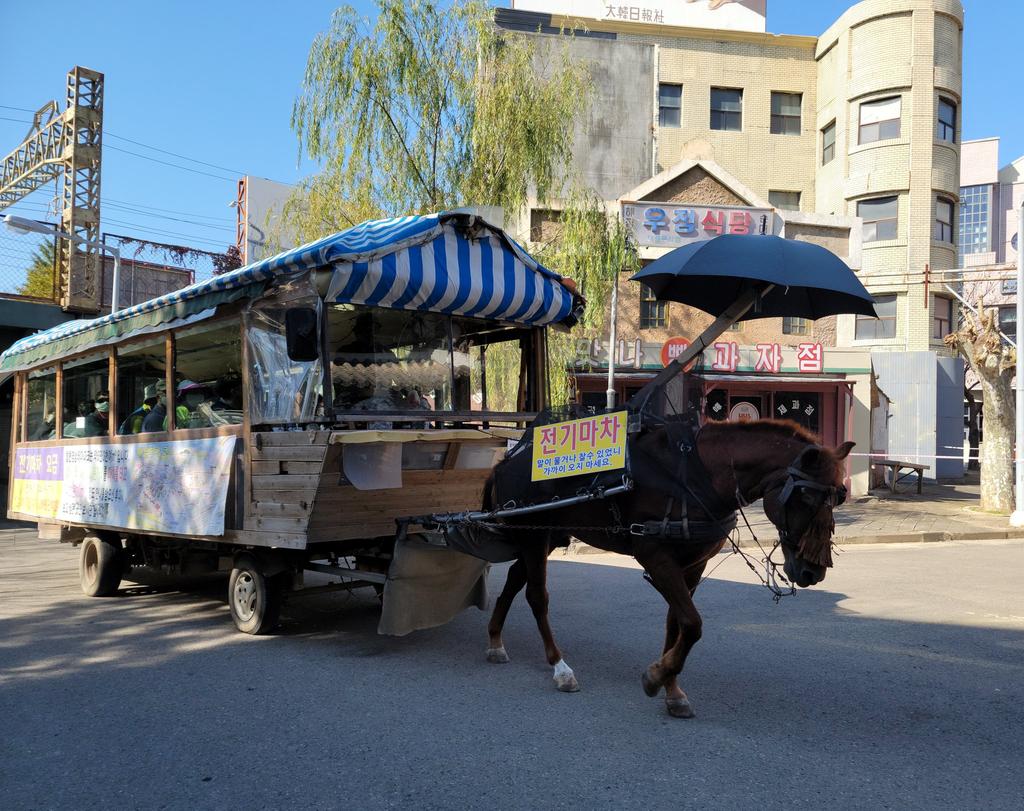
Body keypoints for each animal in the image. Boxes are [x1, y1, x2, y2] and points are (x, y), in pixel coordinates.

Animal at [483, 417, 851, 716]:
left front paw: (671, 689)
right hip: (533, 532)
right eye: (805, 498)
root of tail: (507, 462)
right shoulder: (654, 553)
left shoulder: (694, 563)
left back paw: (495, 640)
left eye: (839, 497)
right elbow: (692, 624)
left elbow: (676, 623)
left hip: (545, 534)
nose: (812, 572)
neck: (697, 476)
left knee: (515, 579)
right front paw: (655, 676)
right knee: (536, 596)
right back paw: (559, 666)